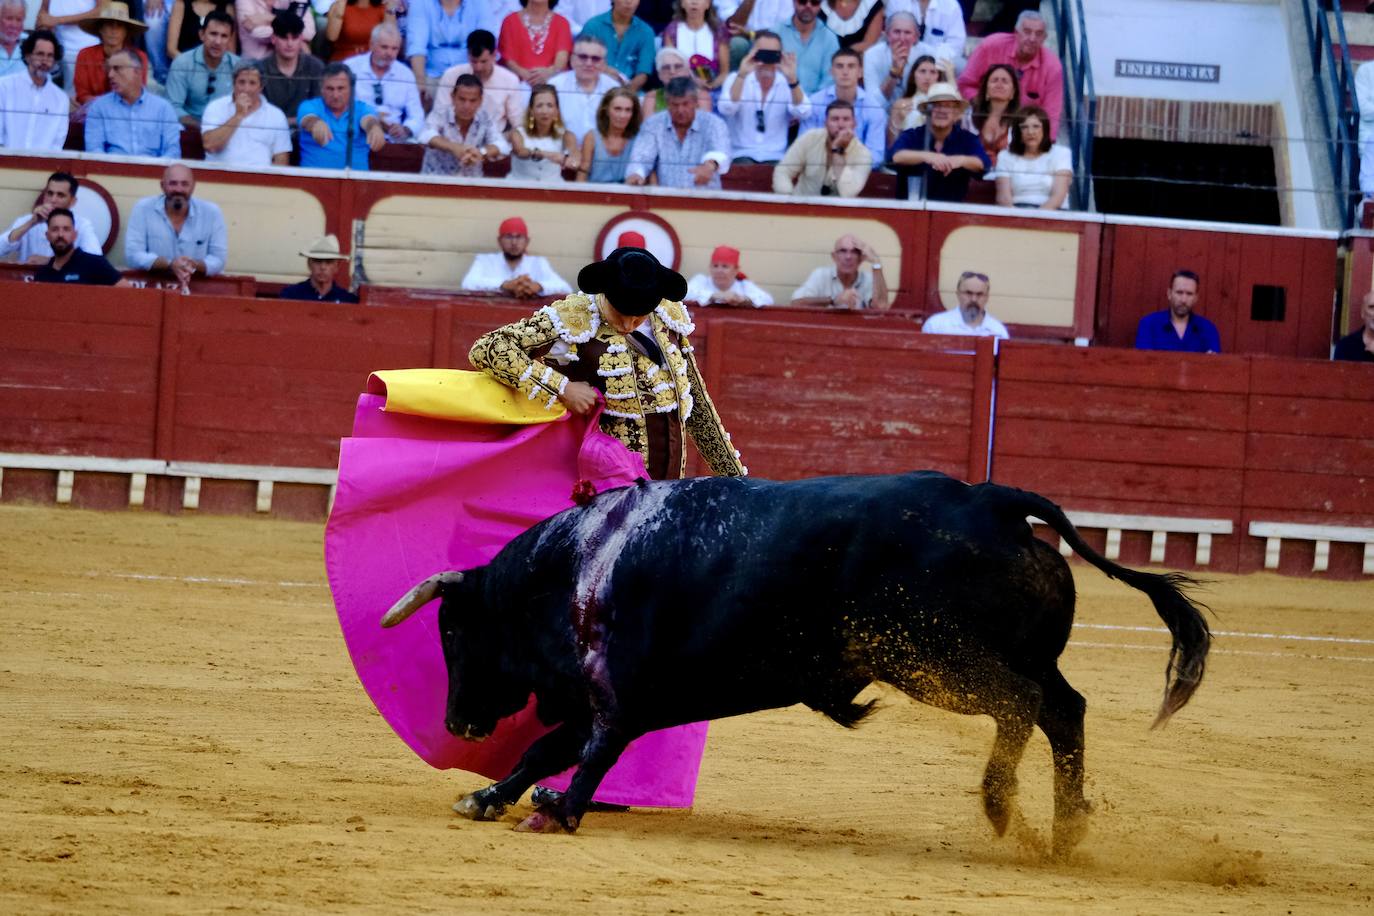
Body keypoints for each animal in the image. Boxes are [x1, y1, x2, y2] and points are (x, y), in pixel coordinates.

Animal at [381, 472, 1209, 862]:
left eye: (453, 630)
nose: (456, 721)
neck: (578, 565)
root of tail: (992, 502)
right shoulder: (600, 698)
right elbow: (543, 750)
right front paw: (487, 797)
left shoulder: (617, 697)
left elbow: (585, 755)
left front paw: (558, 811)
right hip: (998, 655)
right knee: (1063, 709)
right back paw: (1066, 831)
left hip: (935, 659)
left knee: (1021, 704)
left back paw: (1002, 807)